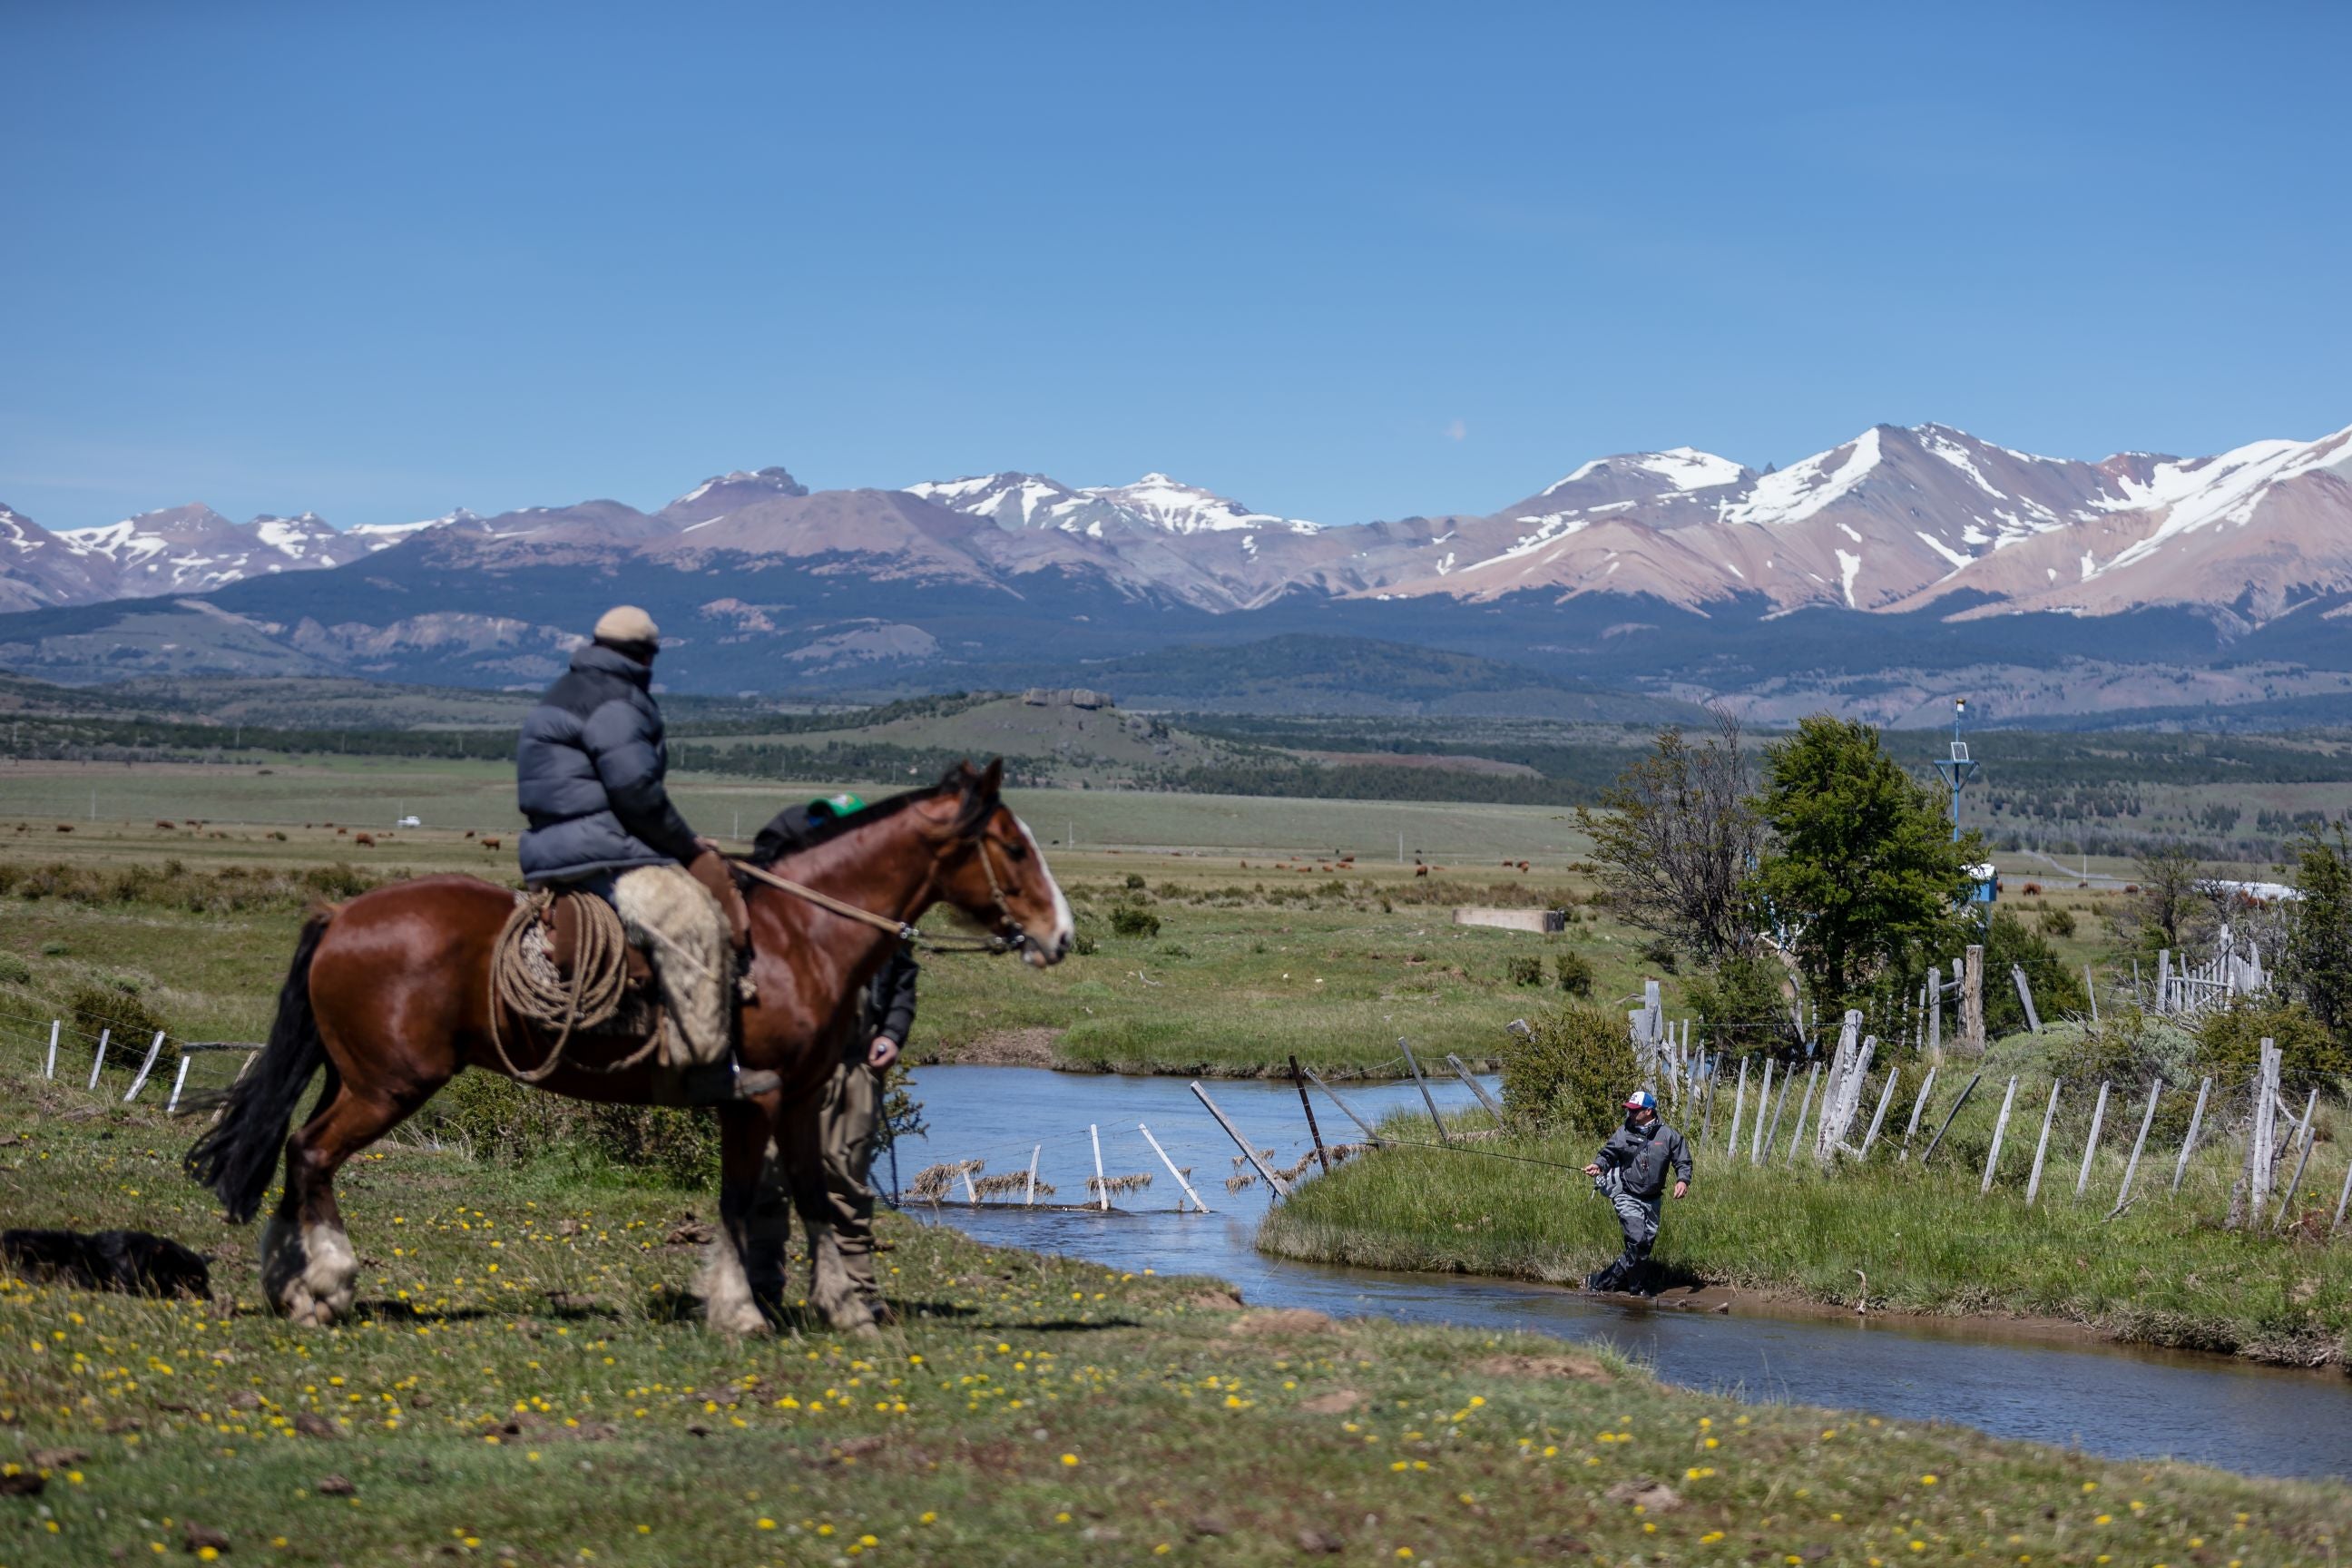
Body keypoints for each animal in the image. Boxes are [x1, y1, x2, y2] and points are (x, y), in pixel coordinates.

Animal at [188, 761, 1072, 1335]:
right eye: (1014, 847)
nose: (1060, 935)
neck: (799, 935)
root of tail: (340, 915)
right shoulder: (756, 1098)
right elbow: (741, 1201)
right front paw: (743, 1312)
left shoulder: (796, 1099)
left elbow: (813, 1198)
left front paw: (843, 1306)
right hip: (389, 1087)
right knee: (311, 1154)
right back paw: (323, 1287)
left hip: (357, 1078)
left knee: (298, 1151)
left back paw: (292, 1283)